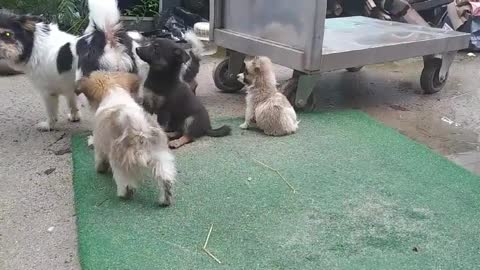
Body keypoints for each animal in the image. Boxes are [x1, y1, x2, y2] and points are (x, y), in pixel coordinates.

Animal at [76, 70, 176, 206]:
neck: (113, 91)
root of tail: (139, 128)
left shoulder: (100, 145)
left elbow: (100, 159)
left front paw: (100, 169)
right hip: (160, 156)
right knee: (165, 179)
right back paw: (165, 200)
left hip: (120, 161)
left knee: (126, 183)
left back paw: (124, 194)